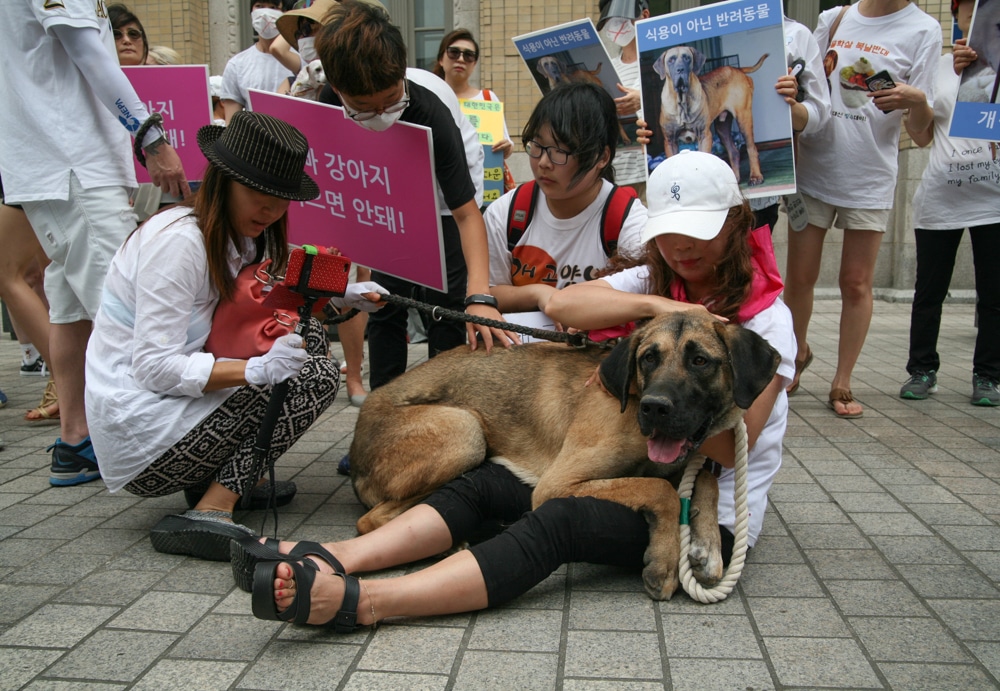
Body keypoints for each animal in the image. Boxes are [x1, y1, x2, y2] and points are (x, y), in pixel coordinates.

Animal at [350, 310, 780, 604]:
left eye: (700, 361)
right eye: (648, 358)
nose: (655, 408)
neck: (632, 397)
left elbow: (702, 478)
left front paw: (706, 545)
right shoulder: (559, 483)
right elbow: (661, 491)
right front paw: (664, 560)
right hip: (465, 432)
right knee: (370, 520)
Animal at [652, 47, 768, 185]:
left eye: (687, 58)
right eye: (671, 60)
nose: (680, 69)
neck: (682, 102)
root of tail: (737, 69)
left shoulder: (704, 135)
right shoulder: (670, 140)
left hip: (744, 118)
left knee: (752, 148)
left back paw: (756, 176)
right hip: (722, 127)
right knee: (733, 151)